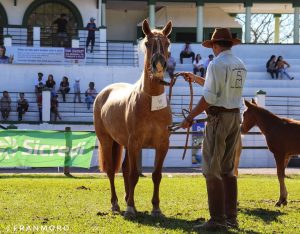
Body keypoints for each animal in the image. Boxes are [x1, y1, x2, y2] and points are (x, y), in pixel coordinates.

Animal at [94, 19, 173, 218]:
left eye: (167, 43)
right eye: (147, 43)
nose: (159, 65)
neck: (151, 102)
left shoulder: (162, 144)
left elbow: (156, 175)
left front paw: (156, 208)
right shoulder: (135, 142)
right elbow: (134, 174)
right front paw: (130, 207)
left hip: (125, 145)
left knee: (124, 168)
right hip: (108, 141)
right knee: (111, 171)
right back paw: (116, 204)